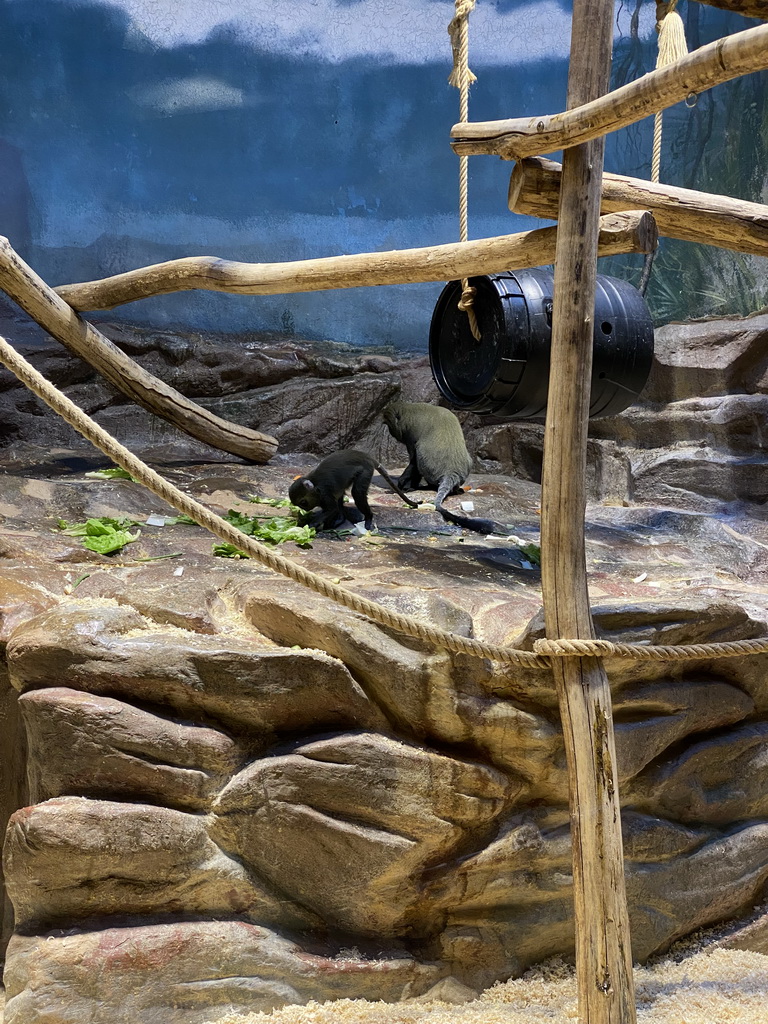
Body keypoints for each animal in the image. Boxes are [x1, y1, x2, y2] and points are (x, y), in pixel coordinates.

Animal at [288, 450, 421, 532]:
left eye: (303, 503)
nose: (305, 509)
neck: (315, 485)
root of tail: (364, 455)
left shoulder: (325, 493)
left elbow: (331, 509)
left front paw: (310, 525)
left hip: (366, 470)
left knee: (357, 493)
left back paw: (369, 517)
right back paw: (341, 519)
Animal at [382, 397, 514, 536]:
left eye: (390, 425)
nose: (391, 433)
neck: (408, 409)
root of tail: (451, 472)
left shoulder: (410, 436)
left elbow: (413, 462)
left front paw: (403, 484)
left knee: (419, 460)